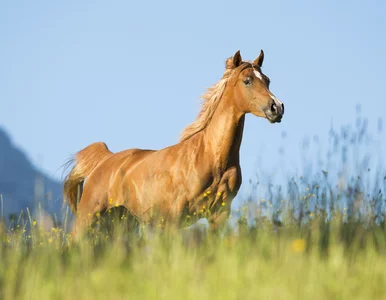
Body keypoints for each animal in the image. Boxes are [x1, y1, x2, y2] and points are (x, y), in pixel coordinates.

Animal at [64, 49, 284, 237]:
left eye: (267, 80)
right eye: (247, 80)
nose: (277, 108)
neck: (212, 158)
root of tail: (104, 159)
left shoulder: (218, 215)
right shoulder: (175, 217)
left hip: (121, 222)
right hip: (87, 219)